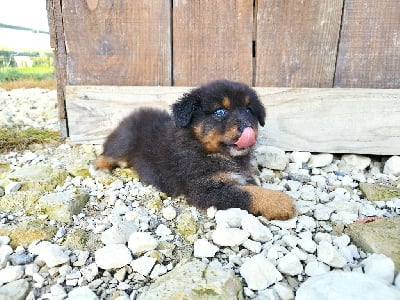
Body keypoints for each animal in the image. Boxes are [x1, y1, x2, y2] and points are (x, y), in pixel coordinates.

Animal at [96, 79, 296, 220]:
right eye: (220, 112)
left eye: (249, 110)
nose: (248, 128)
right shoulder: (204, 188)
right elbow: (247, 193)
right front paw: (280, 202)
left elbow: (250, 185)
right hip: (125, 141)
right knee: (108, 152)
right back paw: (99, 167)